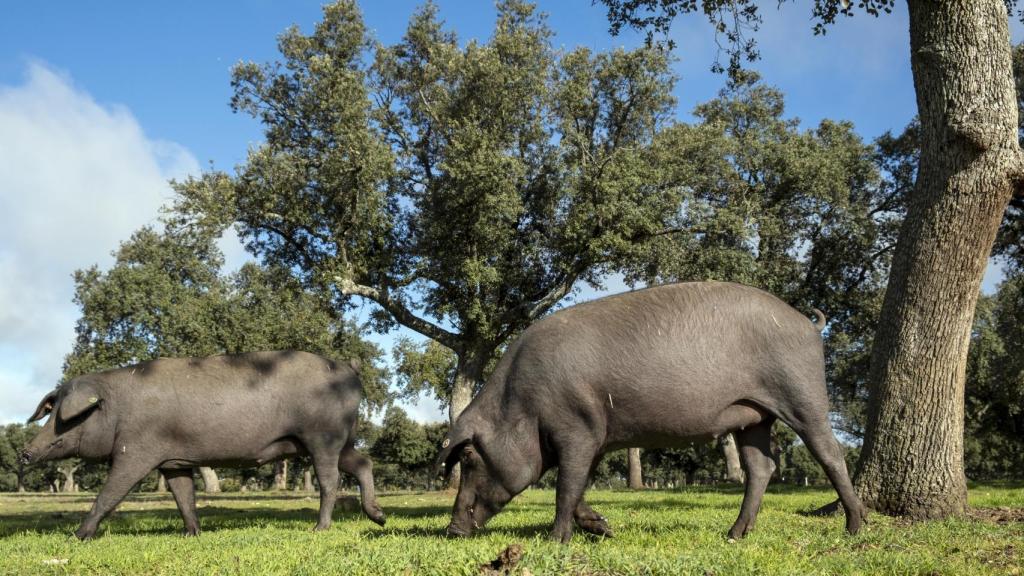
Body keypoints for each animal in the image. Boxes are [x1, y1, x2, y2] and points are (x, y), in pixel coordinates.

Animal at [19, 350, 387, 537]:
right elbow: (184, 497)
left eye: (65, 417)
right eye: (50, 412)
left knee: (330, 479)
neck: (117, 408)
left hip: (322, 436)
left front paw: (77, 535)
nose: (25, 452)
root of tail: (349, 368)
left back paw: (319, 529)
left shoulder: (136, 451)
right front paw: (192, 533)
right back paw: (379, 517)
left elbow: (110, 493)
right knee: (363, 463)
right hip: (338, 440)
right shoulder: (173, 461)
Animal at [436, 282, 868, 541]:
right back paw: (734, 534)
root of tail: (809, 324)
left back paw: (854, 528)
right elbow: (579, 486)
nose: (452, 530)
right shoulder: (597, 436)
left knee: (830, 453)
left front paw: (555, 540)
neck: (522, 403)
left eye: (470, 456)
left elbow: (565, 487)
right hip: (755, 416)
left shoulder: (577, 427)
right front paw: (604, 529)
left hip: (802, 393)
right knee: (762, 466)